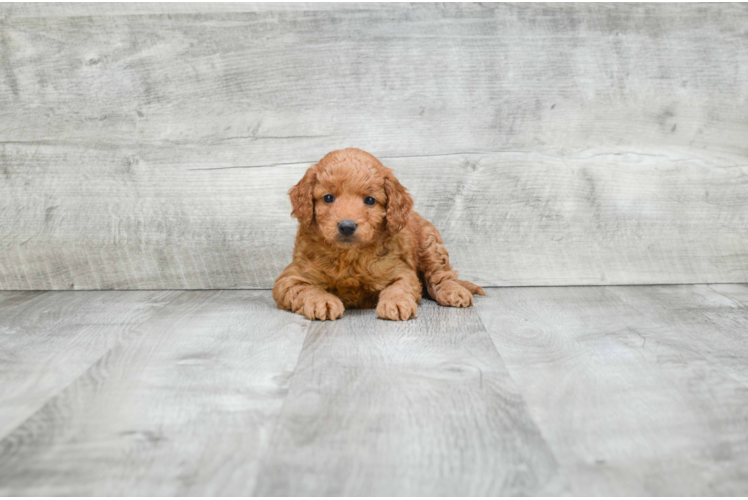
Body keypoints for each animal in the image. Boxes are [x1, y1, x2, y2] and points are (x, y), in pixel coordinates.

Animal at [274, 147, 486, 320]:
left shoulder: (401, 271)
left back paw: (454, 291)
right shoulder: (290, 279)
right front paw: (322, 301)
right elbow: (307, 290)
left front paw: (396, 303)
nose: (347, 226)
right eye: (328, 198)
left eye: (369, 200)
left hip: (430, 242)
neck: (349, 256)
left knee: (441, 275)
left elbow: (399, 287)